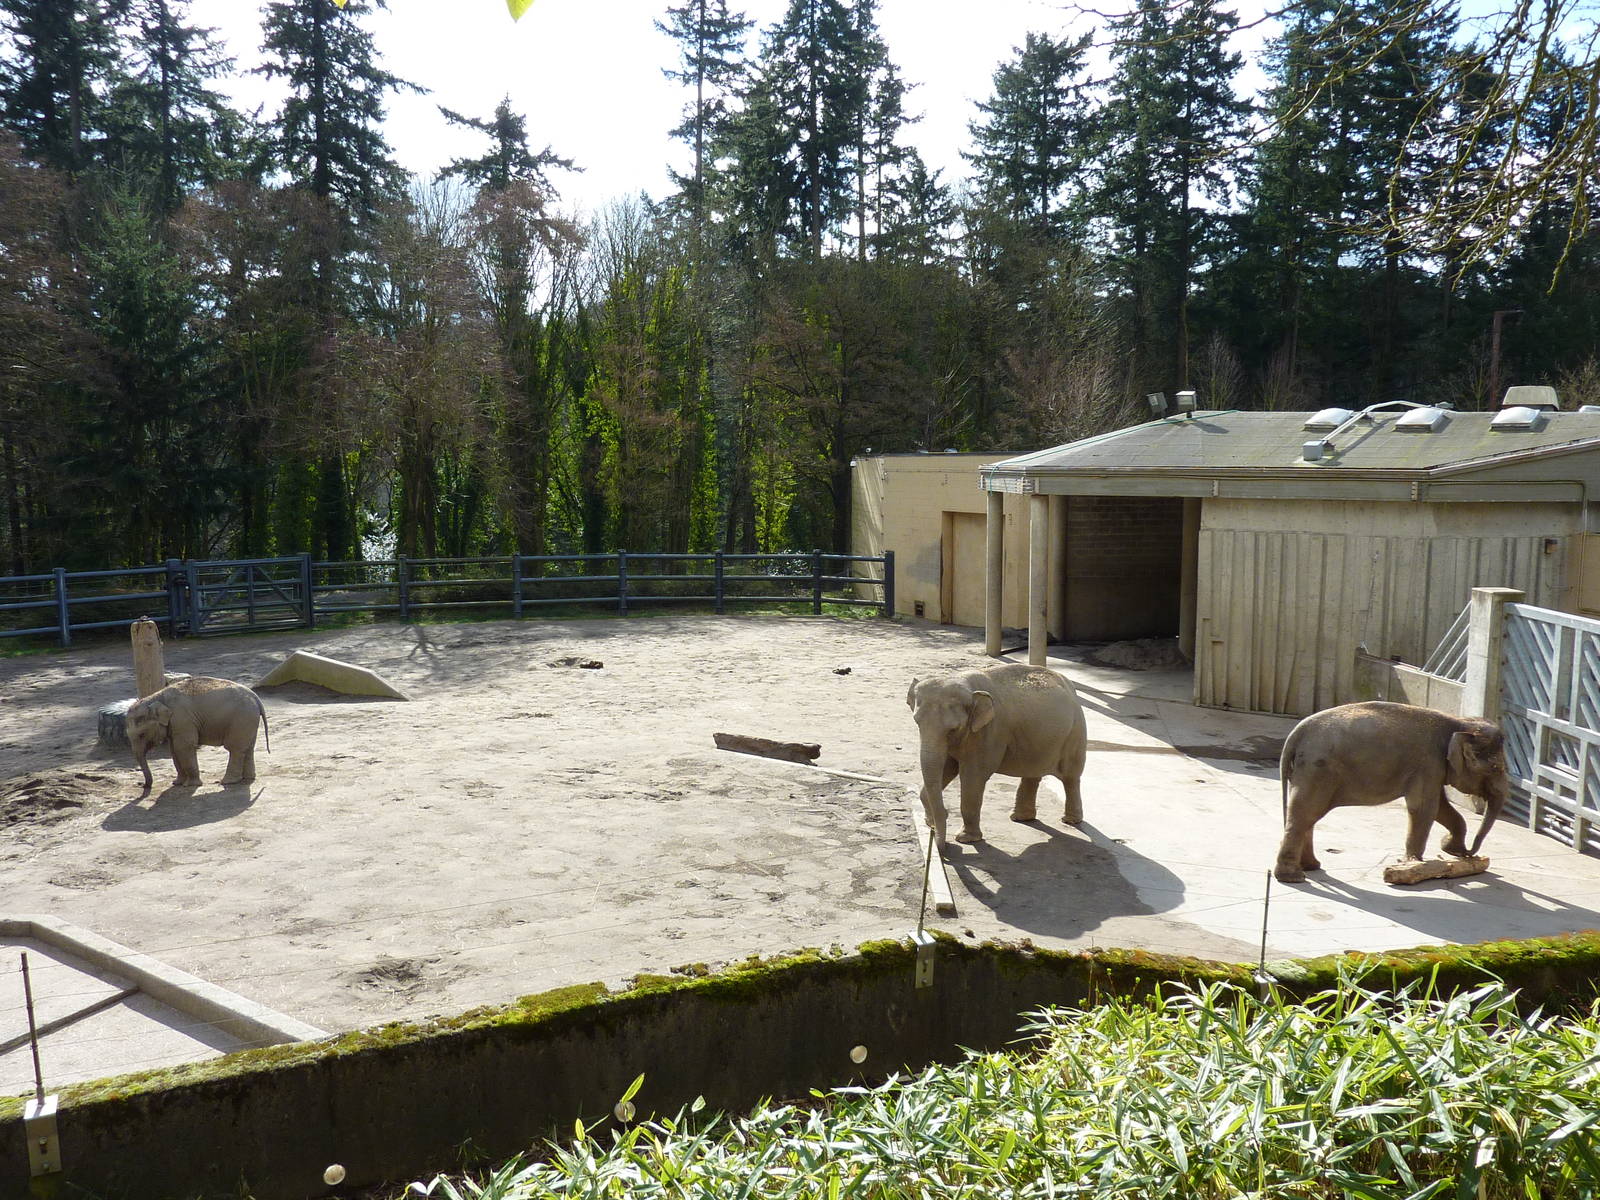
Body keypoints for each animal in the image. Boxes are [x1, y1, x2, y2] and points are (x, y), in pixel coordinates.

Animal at [126, 676, 271, 794]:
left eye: (141, 734)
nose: (144, 786)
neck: (157, 696)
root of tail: (256, 698)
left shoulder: (182, 718)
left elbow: (184, 747)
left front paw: (190, 785)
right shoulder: (175, 724)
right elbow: (174, 750)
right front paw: (177, 783)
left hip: (241, 719)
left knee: (235, 749)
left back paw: (227, 782)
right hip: (249, 720)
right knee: (248, 748)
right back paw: (248, 778)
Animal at [907, 663, 1087, 845]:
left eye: (953, 729)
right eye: (916, 722)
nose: (935, 829)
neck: (965, 684)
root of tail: (1069, 685)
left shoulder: (990, 731)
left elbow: (973, 777)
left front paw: (965, 839)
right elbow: (947, 767)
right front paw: (931, 820)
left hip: (1076, 733)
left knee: (1070, 777)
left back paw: (1070, 820)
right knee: (1033, 773)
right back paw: (1020, 817)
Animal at [1274, 700, 1509, 883]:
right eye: (1496, 768)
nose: (1469, 854)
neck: (1460, 722)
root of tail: (1297, 732)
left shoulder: (1433, 769)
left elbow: (1441, 806)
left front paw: (1451, 849)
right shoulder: (1428, 763)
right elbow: (1424, 808)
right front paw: (1413, 863)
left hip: (1308, 769)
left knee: (1307, 814)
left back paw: (1311, 866)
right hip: (1319, 768)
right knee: (1306, 813)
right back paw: (1293, 877)